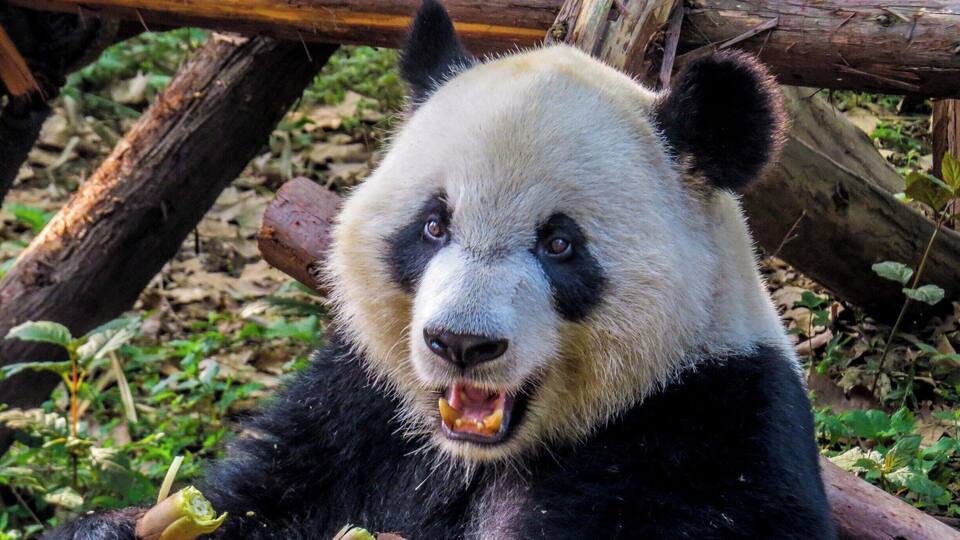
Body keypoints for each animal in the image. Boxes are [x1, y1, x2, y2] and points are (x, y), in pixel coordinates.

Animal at [51, 1, 835, 538]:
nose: (461, 344)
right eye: (433, 226)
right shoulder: (356, 409)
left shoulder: (709, 432)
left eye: (559, 245)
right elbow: (258, 497)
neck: (481, 455)